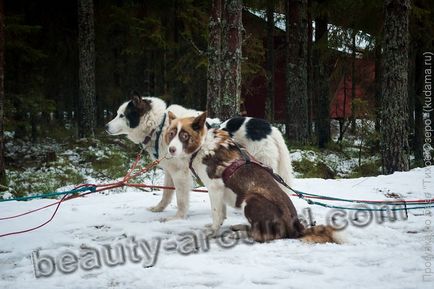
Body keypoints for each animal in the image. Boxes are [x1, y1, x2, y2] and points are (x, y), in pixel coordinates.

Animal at [106, 95, 294, 219]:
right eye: (117, 113)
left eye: (122, 115)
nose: (106, 126)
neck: (159, 126)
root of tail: (270, 127)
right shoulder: (170, 170)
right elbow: (166, 194)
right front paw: (159, 208)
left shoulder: (180, 173)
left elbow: (181, 199)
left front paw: (178, 217)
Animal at [165, 111, 340, 242]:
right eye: (172, 134)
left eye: (184, 135)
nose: (171, 150)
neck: (203, 145)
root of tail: (296, 227)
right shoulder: (219, 190)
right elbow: (220, 213)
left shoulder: (215, 187)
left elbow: (216, 213)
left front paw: (213, 232)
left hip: (250, 199)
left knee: (262, 235)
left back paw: (237, 234)